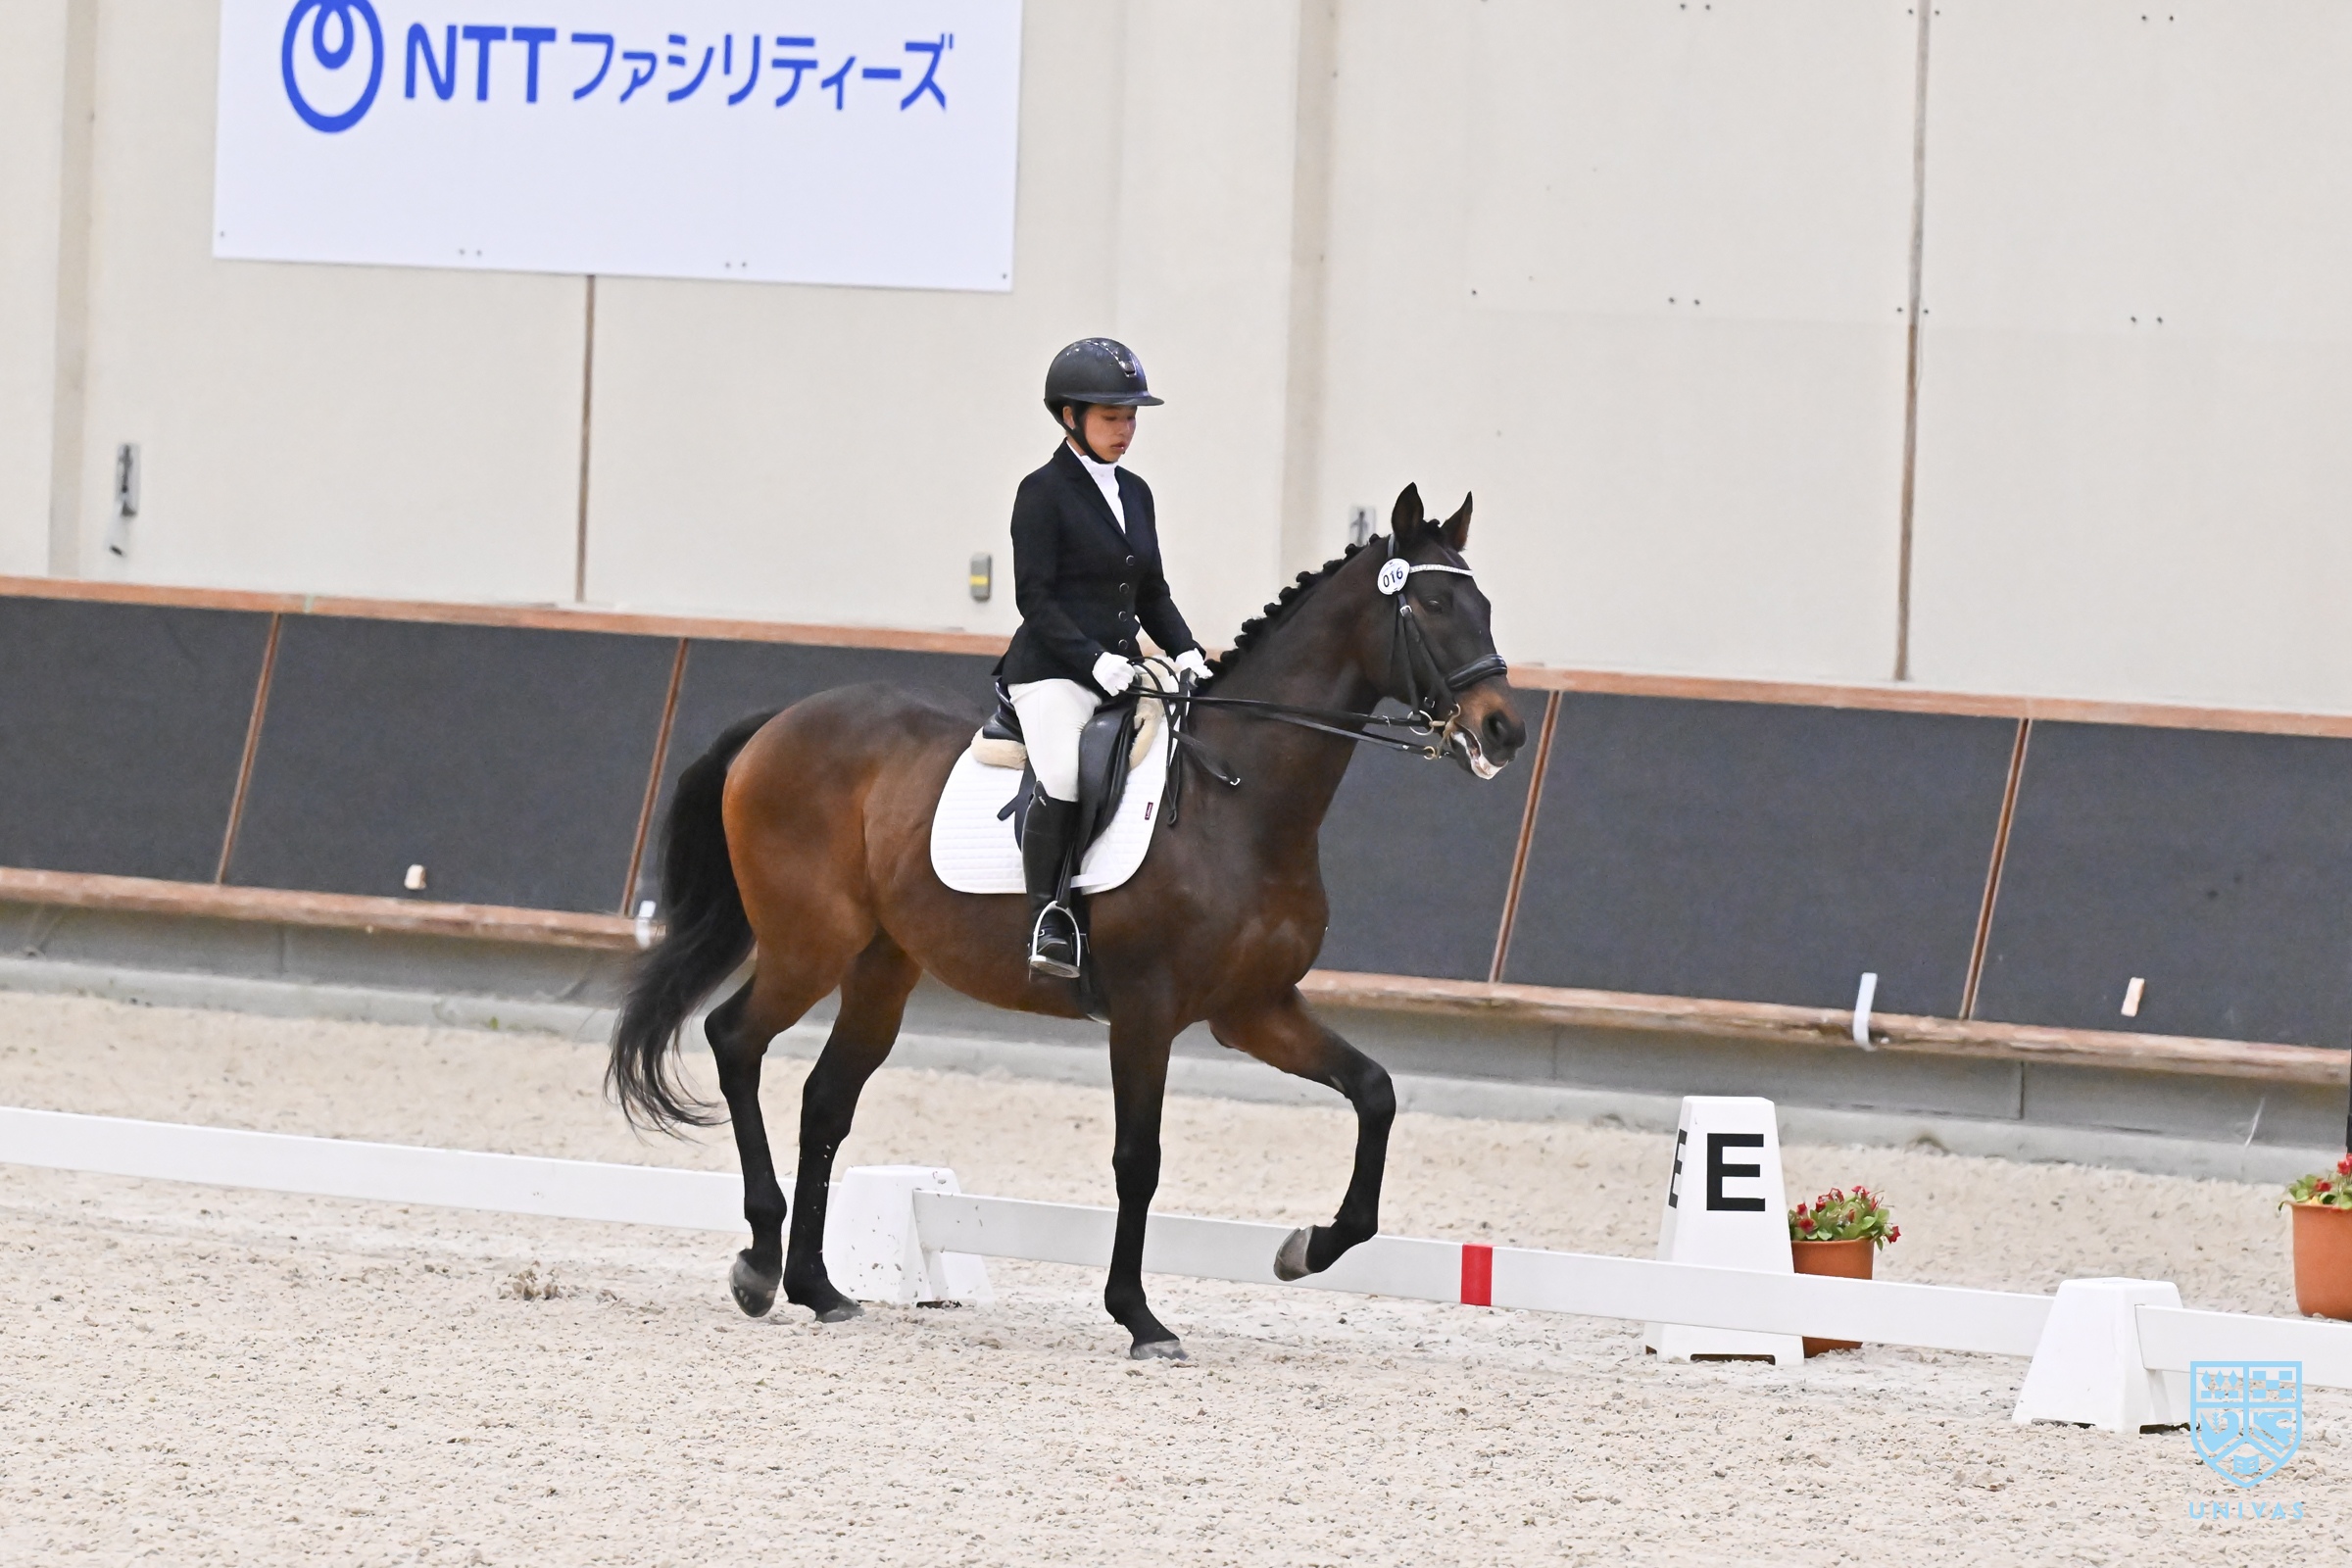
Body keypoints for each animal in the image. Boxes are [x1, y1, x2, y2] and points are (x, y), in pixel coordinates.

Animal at [608, 484, 1527, 1359]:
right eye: (1434, 605)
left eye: (1485, 603)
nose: (1504, 730)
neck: (1240, 799)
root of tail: (780, 721)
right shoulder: (1148, 1012)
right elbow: (1138, 1161)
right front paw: (1141, 1318)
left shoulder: (1254, 1009)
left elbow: (1374, 1093)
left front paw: (1306, 1248)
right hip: (809, 945)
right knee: (734, 1039)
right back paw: (759, 1265)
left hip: (881, 964)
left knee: (826, 1100)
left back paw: (817, 1287)